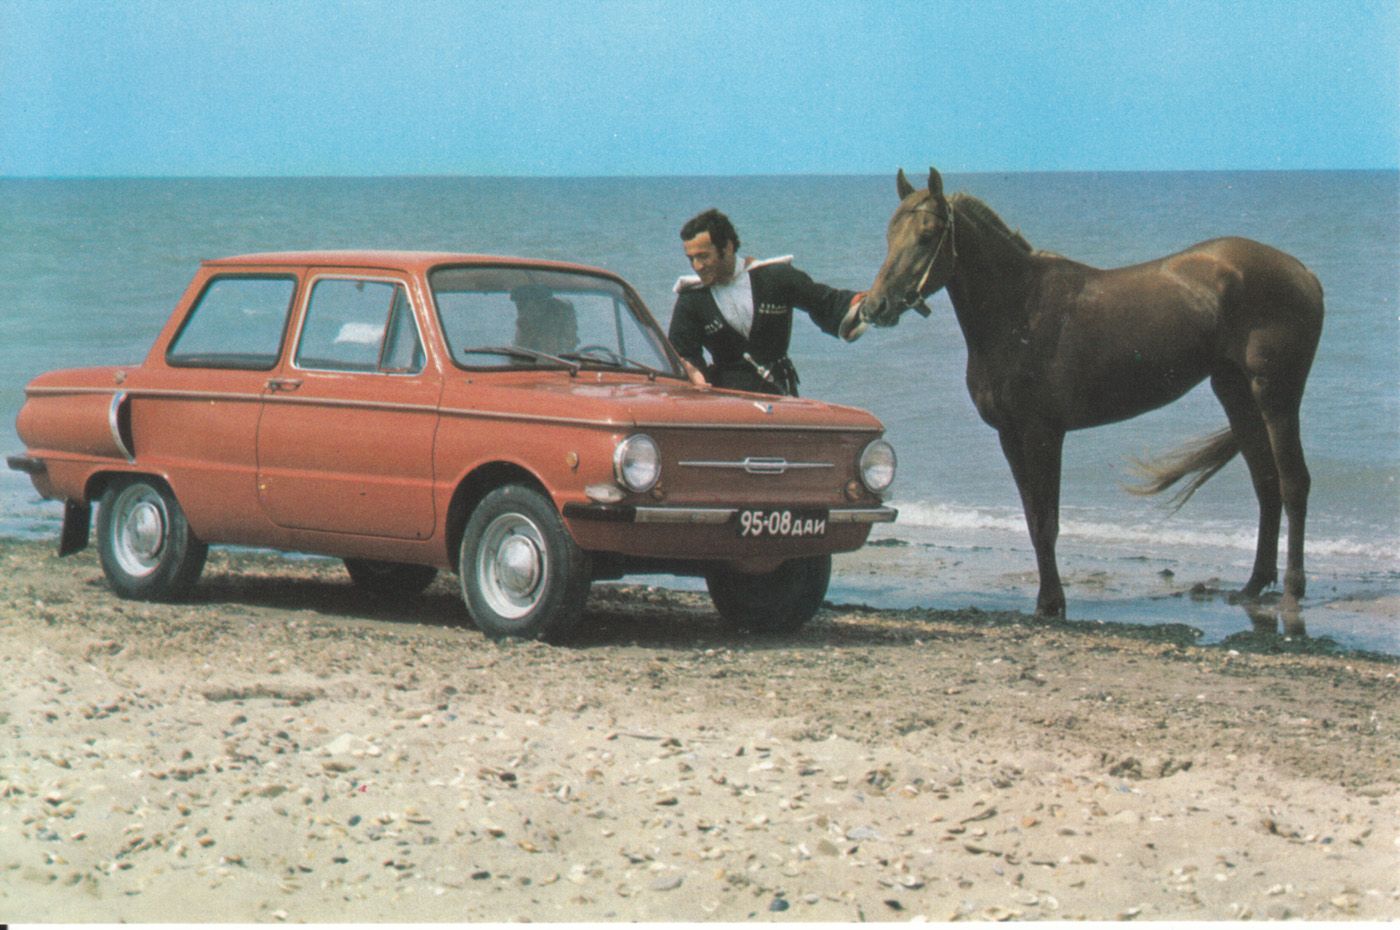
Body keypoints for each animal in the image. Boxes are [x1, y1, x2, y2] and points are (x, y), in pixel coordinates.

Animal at [840, 167, 1321, 616]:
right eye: (890, 234)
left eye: (926, 236)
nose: (875, 307)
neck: (1019, 310)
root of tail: (1304, 274)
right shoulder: (1010, 436)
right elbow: (1033, 519)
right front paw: (1046, 600)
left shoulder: (1044, 434)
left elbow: (1047, 522)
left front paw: (1052, 602)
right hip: (1235, 392)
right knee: (1267, 483)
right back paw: (1254, 585)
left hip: (1276, 394)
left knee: (1294, 483)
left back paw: (1293, 588)